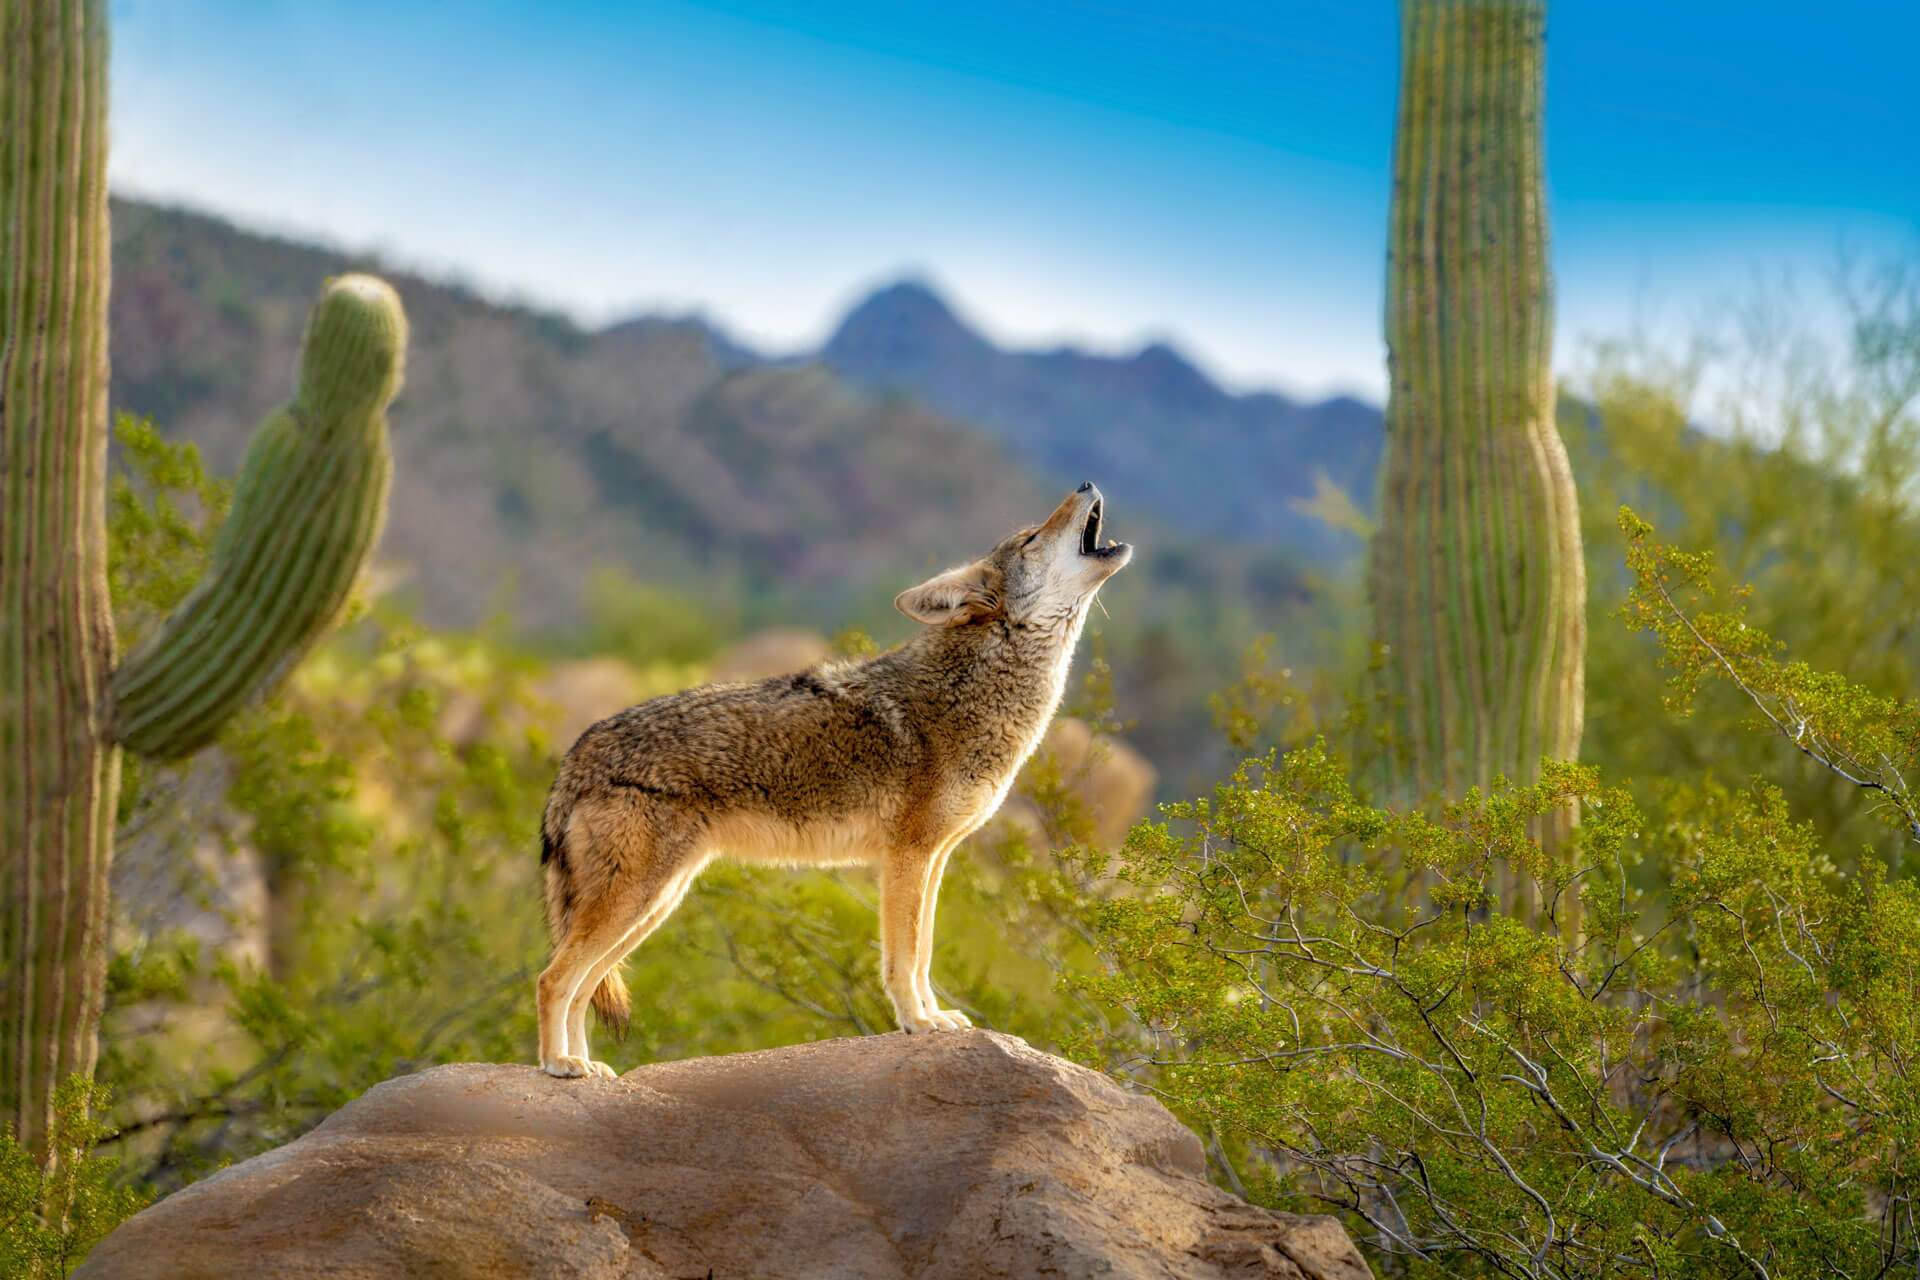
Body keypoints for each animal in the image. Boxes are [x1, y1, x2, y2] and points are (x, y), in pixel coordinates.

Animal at [534, 483, 1131, 1077]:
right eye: (1030, 538)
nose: (1085, 485)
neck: (974, 694)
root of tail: (576, 756)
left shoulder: (935, 858)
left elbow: (924, 952)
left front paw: (935, 1016)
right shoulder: (906, 857)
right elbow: (903, 958)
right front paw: (917, 1023)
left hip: (655, 905)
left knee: (581, 987)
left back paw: (585, 1066)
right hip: (636, 902)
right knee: (551, 979)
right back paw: (558, 1065)